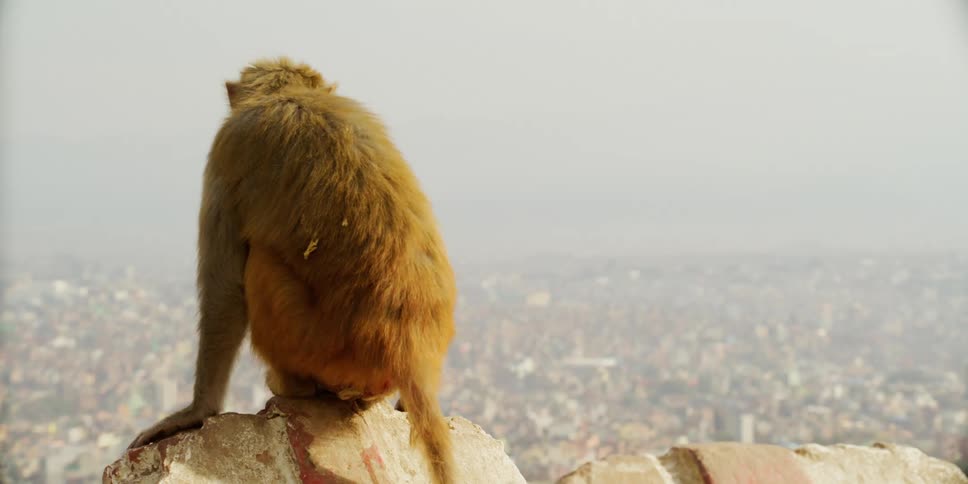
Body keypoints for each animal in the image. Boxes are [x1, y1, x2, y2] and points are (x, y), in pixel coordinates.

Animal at [127, 57, 457, 484]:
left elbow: (224, 287)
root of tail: (409, 351)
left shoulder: (227, 148)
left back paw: (292, 386)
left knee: (258, 264)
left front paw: (196, 411)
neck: (289, 96)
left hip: (311, 344)